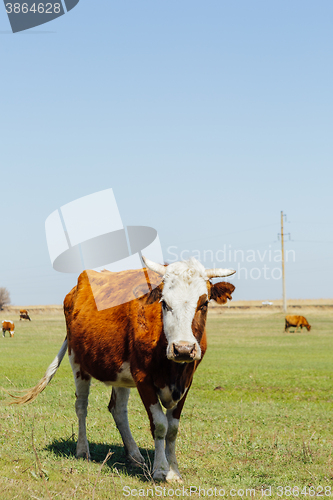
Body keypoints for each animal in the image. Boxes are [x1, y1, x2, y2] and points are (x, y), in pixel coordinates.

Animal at [9, 258, 235, 480]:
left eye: (204, 303)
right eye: (164, 303)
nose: (183, 349)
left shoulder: (186, 380)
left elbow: (172, 428)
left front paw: (174, 471)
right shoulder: (143, 379)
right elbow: (160, 424)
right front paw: (161, 470)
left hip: (120, 374)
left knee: (118, 409)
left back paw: (134, 455)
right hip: (78, 361)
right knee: (81, 406)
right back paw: (83, 450)